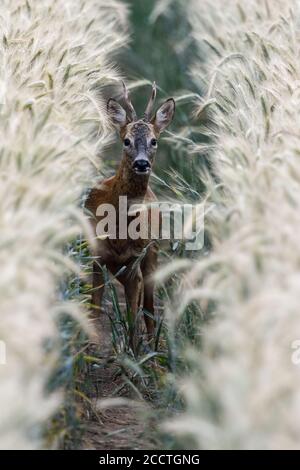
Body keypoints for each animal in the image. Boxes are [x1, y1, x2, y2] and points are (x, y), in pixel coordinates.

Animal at [85, 81, 176, 346]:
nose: (142, 163)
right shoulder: (97, 254)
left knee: (147, 307)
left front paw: (134, 353)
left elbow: (133, 316)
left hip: (152, 254)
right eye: (126, 141)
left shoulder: (136, 257)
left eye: (154, 141)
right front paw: (88, 348)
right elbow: (94, 308)